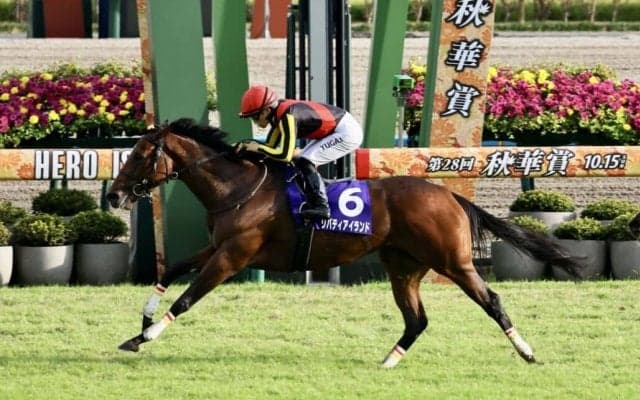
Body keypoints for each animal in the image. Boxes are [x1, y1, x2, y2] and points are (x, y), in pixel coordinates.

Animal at [106, 118, 582, 367]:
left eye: (139, 155)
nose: (114, 196)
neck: (238, 187)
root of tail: (448, 195)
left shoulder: (234, 256)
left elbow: (187, 297)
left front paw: (144, 337)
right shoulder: (220, 248)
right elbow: (172, 269)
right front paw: (144, 319)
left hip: (453, 262)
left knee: (491, 300)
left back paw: (527, 351)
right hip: (403, 267)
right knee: (417, 320)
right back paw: (389, 361)